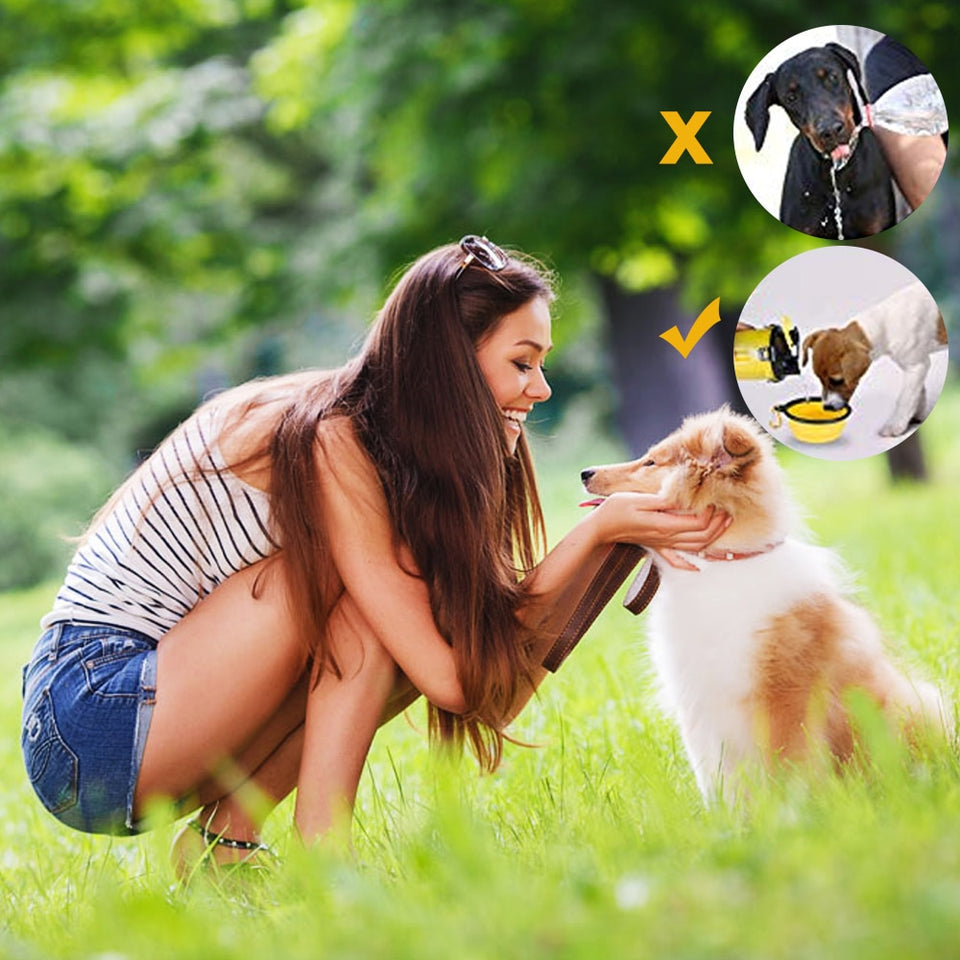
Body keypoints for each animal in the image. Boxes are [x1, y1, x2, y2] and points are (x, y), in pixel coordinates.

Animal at [580, 408, 948, 800]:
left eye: (651, 461)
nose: (585, 472)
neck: (720, 564)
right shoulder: (698, 708)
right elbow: (714, 780)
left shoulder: (787, 695)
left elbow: (789, 762)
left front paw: (798, 808)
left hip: (913, 704)